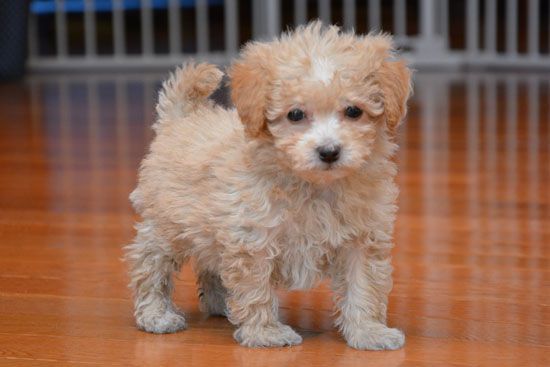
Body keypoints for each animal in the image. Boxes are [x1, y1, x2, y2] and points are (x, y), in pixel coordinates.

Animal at [127, 23, 414, 350]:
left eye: (354, 111)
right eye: (295, 114)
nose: (329, 151)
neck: (312, 185)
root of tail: (179, 119)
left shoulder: (363, 238)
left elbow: (363, 286)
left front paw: (369, 332)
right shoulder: (252, 238)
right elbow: (255, 287)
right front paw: (265, 332)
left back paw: (220, 304)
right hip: (167, 226)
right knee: (150, 264)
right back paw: (156, 314)